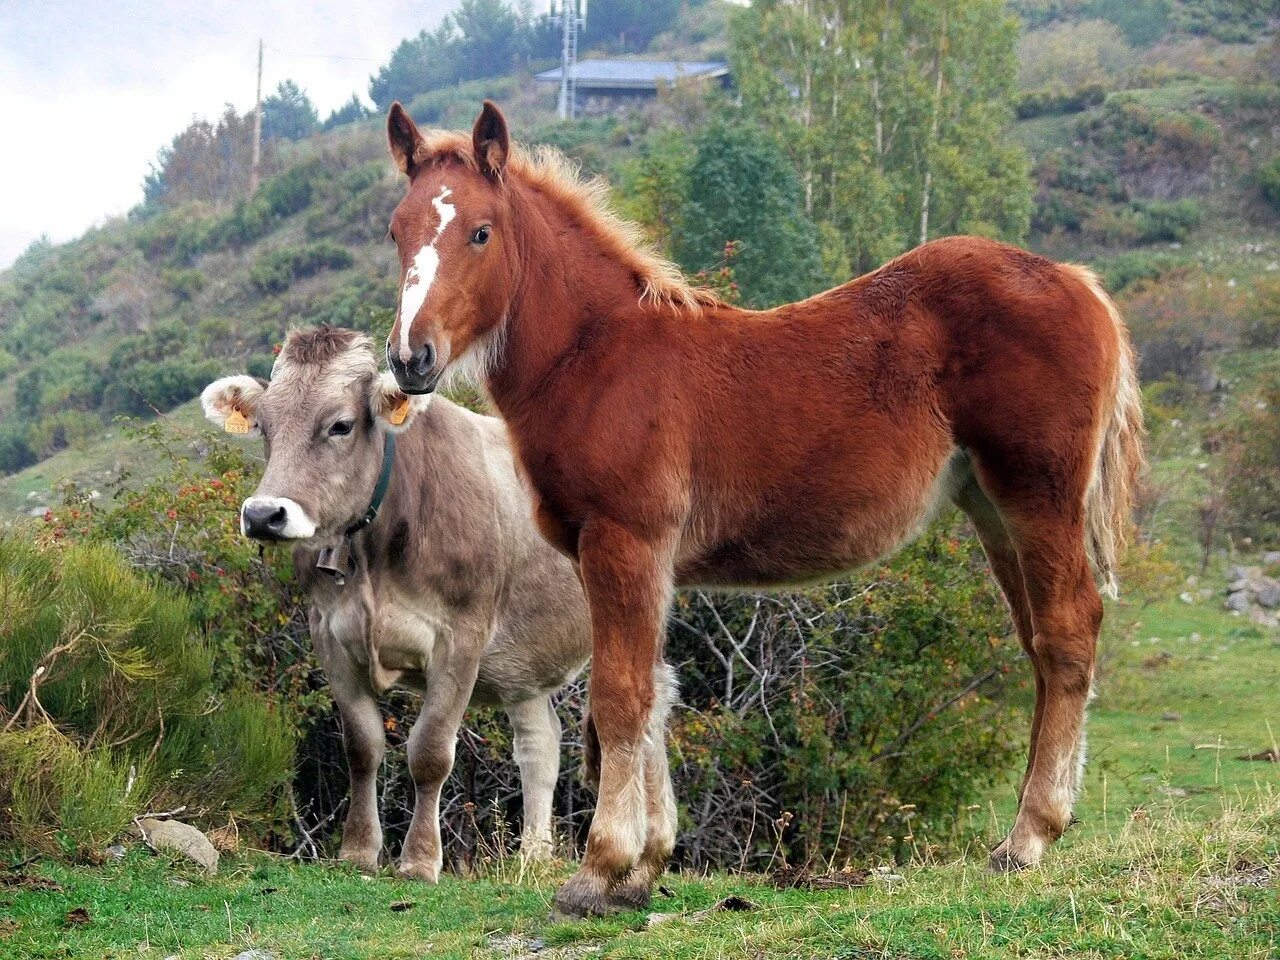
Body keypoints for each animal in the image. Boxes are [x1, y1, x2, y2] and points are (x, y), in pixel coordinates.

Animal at [199, 327, 614, 885]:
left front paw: (419, 859)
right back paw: (533, 856)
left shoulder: (461, 636)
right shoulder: (328, 633)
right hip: (523, 664)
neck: (372, 554)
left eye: (341, 425)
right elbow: (362, 746)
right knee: (539, 745)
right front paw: (358, 850)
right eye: (264, 425)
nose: (265, 515)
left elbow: (431, 751)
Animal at [376, 101, 1141, 921]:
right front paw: (644, 869)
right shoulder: (636, 560)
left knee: (1067, 632)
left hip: (1038, 494)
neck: (597, 358)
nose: (411, 358)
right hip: (991, 506)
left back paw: (1030, 836)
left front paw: (598, 871)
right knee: (1038, 641)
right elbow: (653, 696)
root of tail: (1077, 281)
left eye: (481, 232)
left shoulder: (624, 542)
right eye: (397, 229)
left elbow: (619, 698)